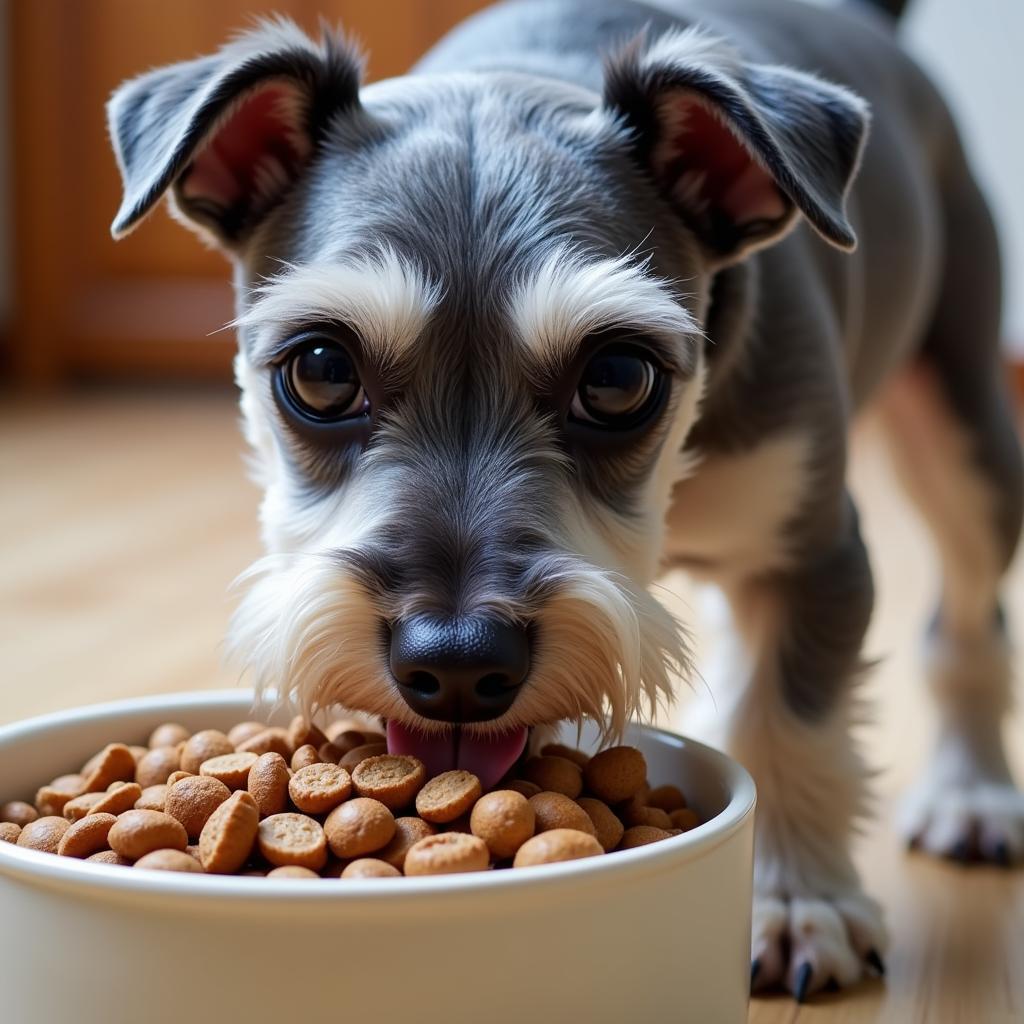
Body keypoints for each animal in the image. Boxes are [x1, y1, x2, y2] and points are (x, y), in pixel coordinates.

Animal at [108, 0, 1019, 999]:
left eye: (619, 376)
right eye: (320, 370)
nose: (457, 665)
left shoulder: (814, 552)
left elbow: (790, 725)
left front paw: (791, 902)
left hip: (968, 441)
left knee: (967, 618)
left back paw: (973, 793)